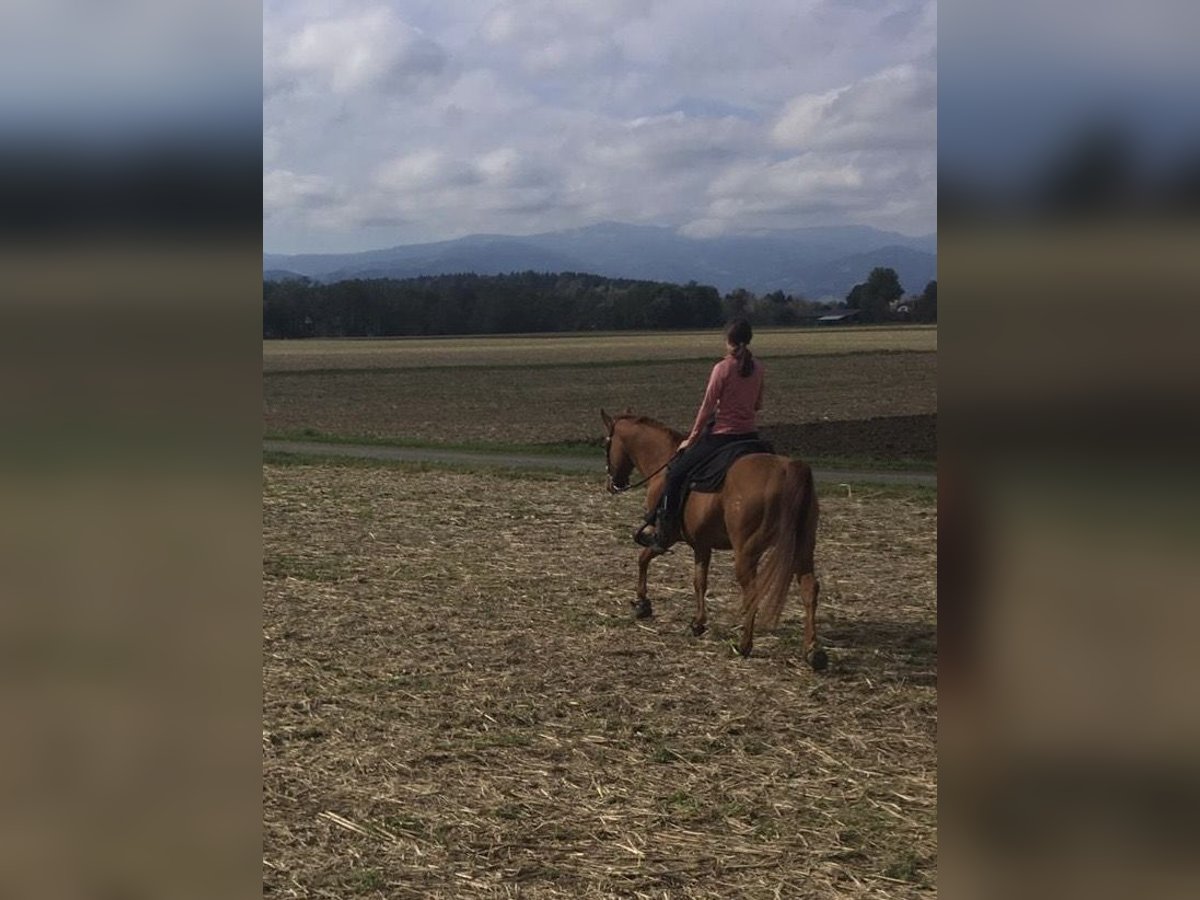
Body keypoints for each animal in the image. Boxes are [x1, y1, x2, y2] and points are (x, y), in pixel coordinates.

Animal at [600, 408, 825, 672]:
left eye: (606, 443)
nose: (612, 484)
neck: (664, 460)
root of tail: (789, 469)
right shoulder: (701, 544)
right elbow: (700, 581)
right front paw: (697, 623)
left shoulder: (666, 537)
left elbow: (643, 559)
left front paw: (642, 603)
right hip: (803, 548)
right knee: (809, 589)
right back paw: (813, 652)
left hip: (747, 553)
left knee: (753, 592)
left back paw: (744, 645)